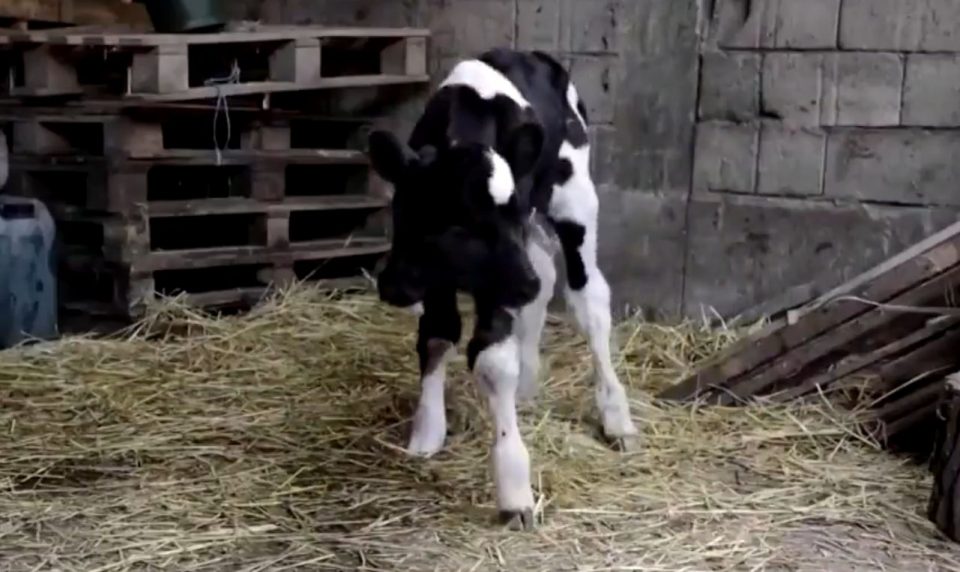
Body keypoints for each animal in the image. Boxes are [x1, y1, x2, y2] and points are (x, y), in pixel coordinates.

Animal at [368, 47, 636, 528]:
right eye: (456, 222)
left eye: (508, 213)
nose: (394, 287)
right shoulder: (438, 273)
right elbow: (437, 334)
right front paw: (426, 433)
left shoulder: (499, 273)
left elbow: (492, 358)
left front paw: (514, 489)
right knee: (545, 274)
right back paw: (529, 375)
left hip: (575, 199)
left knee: (588, 299)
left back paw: (615, 415)